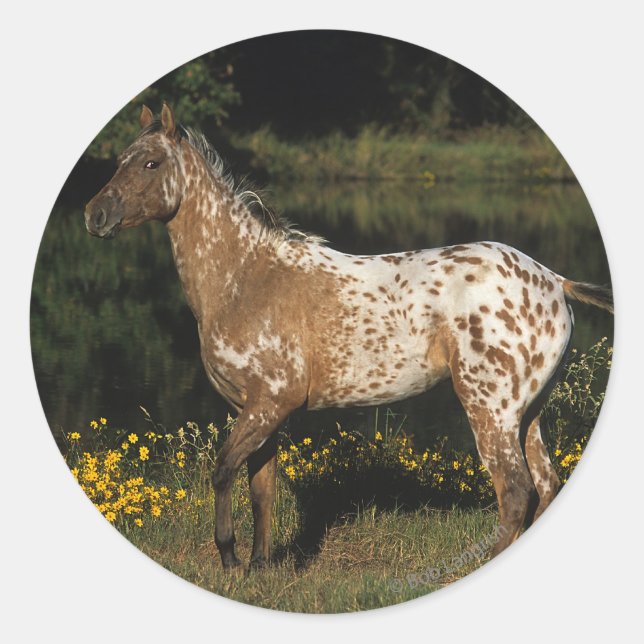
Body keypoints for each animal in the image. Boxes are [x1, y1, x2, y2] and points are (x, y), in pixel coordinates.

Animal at [85, 103, 613, 570]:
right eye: (120, 160)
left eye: (151, 163)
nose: (95, 215)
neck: (245, 276)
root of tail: (554, 281)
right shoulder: (257, 409)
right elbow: (261, 489)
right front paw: (258, 567)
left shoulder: (269, 404)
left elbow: (222, 471)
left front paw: (230, 557)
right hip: (529, 411)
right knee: (544, 485)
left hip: (491, 408)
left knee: (515, 493)